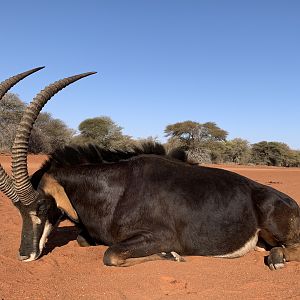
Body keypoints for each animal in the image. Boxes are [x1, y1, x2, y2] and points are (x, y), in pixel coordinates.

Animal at [0, 68, 298, 270]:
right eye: (18, 210)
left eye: (41, 206)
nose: (24, 255)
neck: (116, 190)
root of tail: (288, 200)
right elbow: (86, 241)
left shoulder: (159, 236)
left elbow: (111, 254)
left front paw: (171, 255)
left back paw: (277, 259)